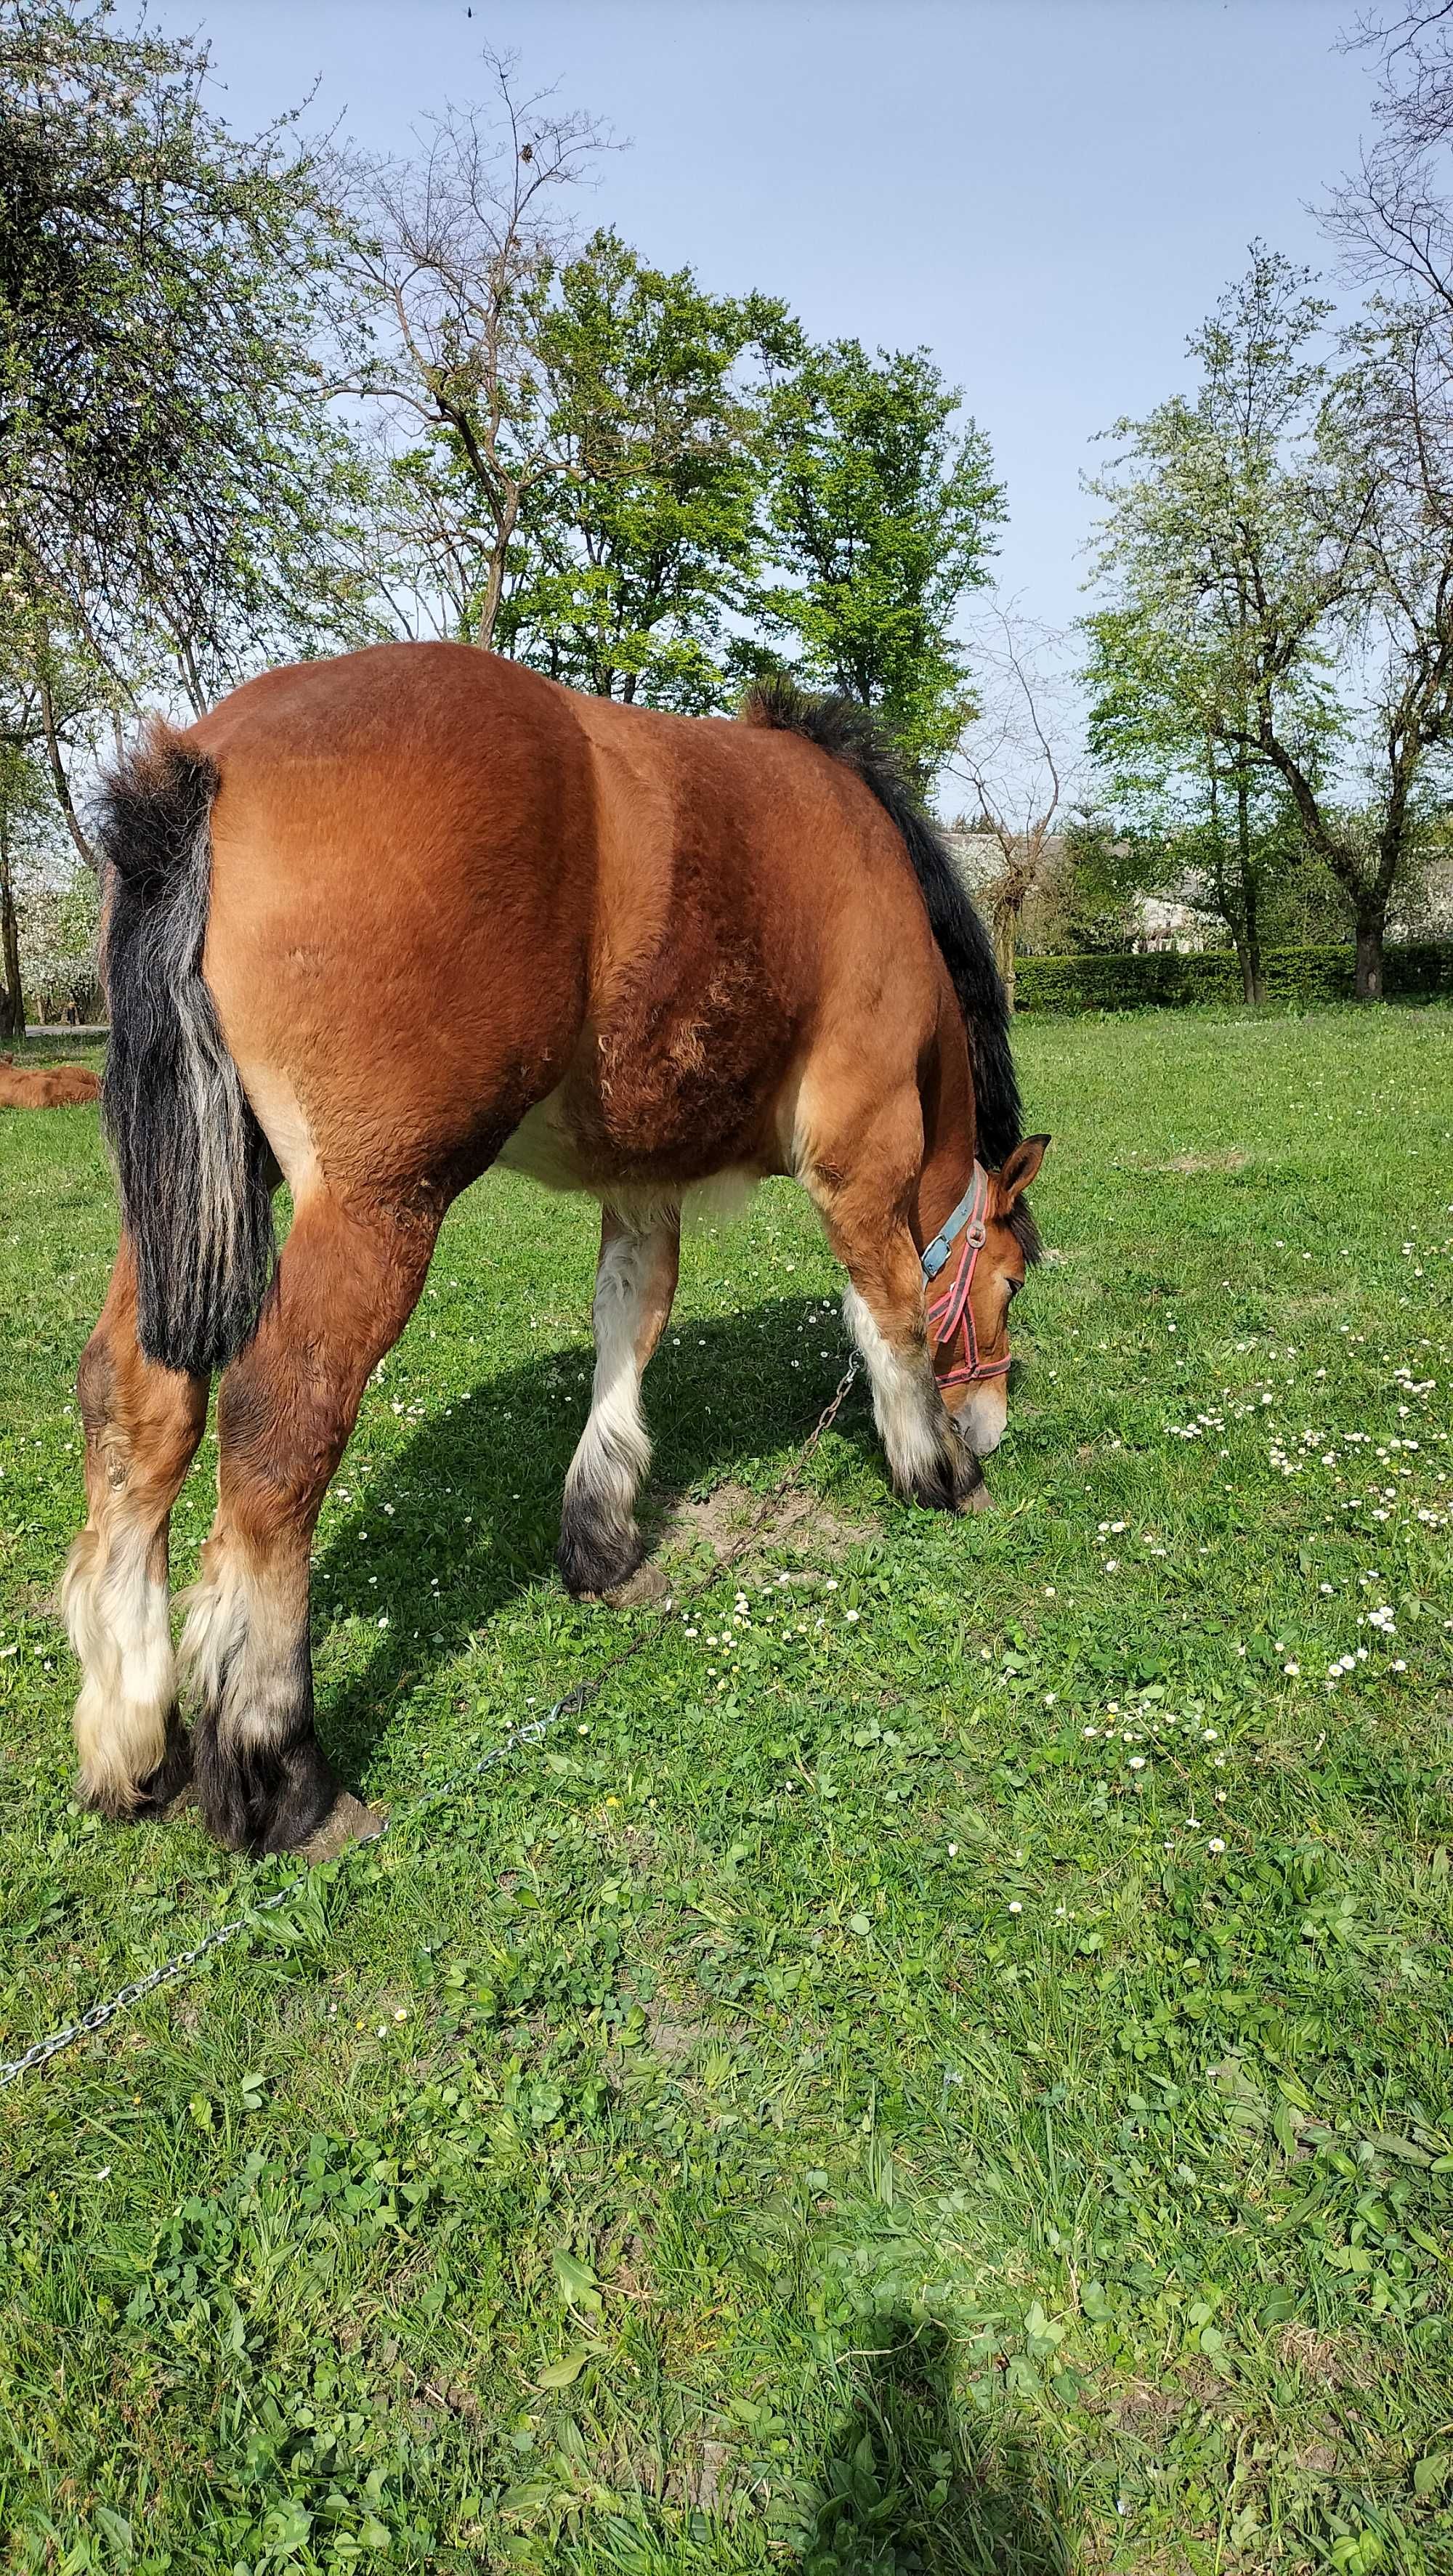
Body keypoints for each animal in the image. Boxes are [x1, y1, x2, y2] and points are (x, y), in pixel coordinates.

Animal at [65, 644, 1045, 1855]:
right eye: (1012, 1279)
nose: (992, 1423)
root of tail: (204, 756)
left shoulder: (642, 1184)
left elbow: (631, 1327)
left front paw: (601, 1542)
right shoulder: (863, 1150)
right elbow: (892, 1308)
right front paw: (938, 1471)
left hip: (185, 1198)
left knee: (137, 1403)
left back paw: (129, 1732)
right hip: (373, 1205)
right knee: (279, 1422)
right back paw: (275, 1766)